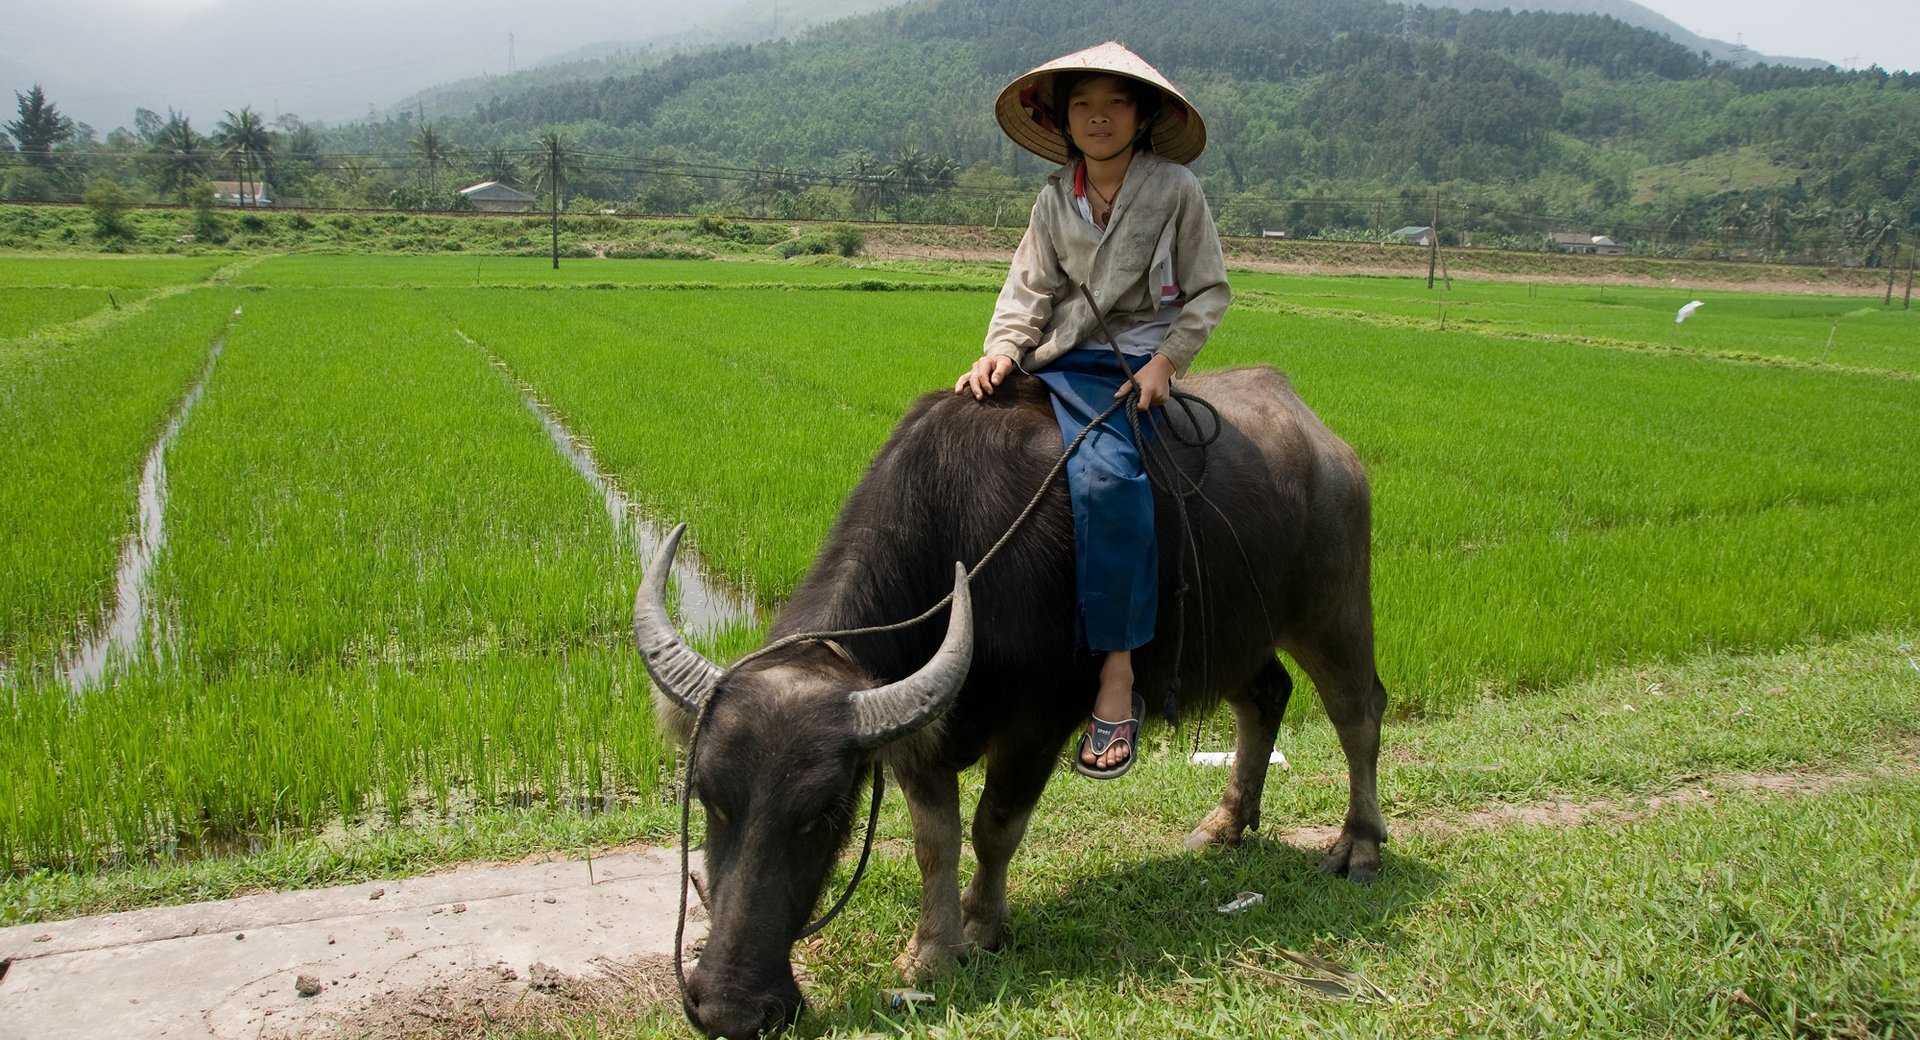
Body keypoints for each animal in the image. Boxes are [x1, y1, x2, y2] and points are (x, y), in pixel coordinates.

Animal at [636, 366, 1386, 1039]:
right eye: (709, 798)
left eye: (823, 816)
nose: (728, 1010)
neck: (961, 542)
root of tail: (1325, 441)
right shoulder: (919, 735)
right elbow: (934, 840)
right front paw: (931, 954)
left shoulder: (1038, 724)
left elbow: (994, 826)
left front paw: (982, 926)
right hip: (1236, 635)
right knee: (1265, 697)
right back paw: (1226, 825)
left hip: (1333, 611)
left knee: (1358, 713)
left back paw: (1359, 848)